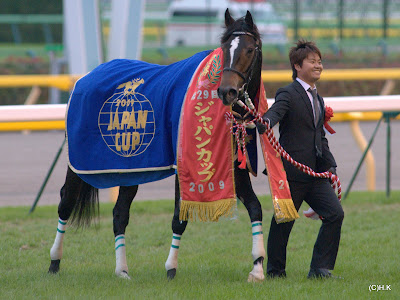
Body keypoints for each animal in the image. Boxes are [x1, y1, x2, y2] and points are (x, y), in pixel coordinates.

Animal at [47, 8, 266, 282]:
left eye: (250, 49)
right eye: (224, 48)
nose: (227, 91)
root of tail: (84, 78)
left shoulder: (235, 167)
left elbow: (255, 207)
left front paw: (257, 267)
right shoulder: (184, 165)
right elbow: (179, 218)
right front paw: (171, 268)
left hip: (128, 169)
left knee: (119, 214)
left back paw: (122, 270)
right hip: (79, 163)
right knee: (66, 203)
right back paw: (54, 262)